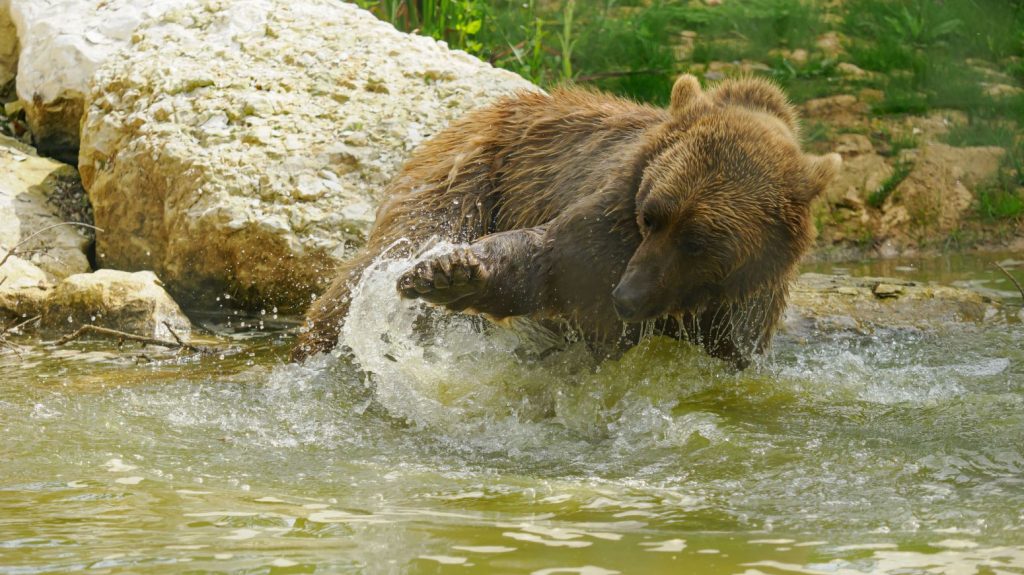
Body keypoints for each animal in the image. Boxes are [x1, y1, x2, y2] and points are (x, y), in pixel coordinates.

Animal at [292, 74, 840, 368]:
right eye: (651, 216)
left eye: (700, 240)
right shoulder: (610, 214)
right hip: (473, 176)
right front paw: (450, 273)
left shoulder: (744, 306)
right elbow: (547, 261)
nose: (628, 295)